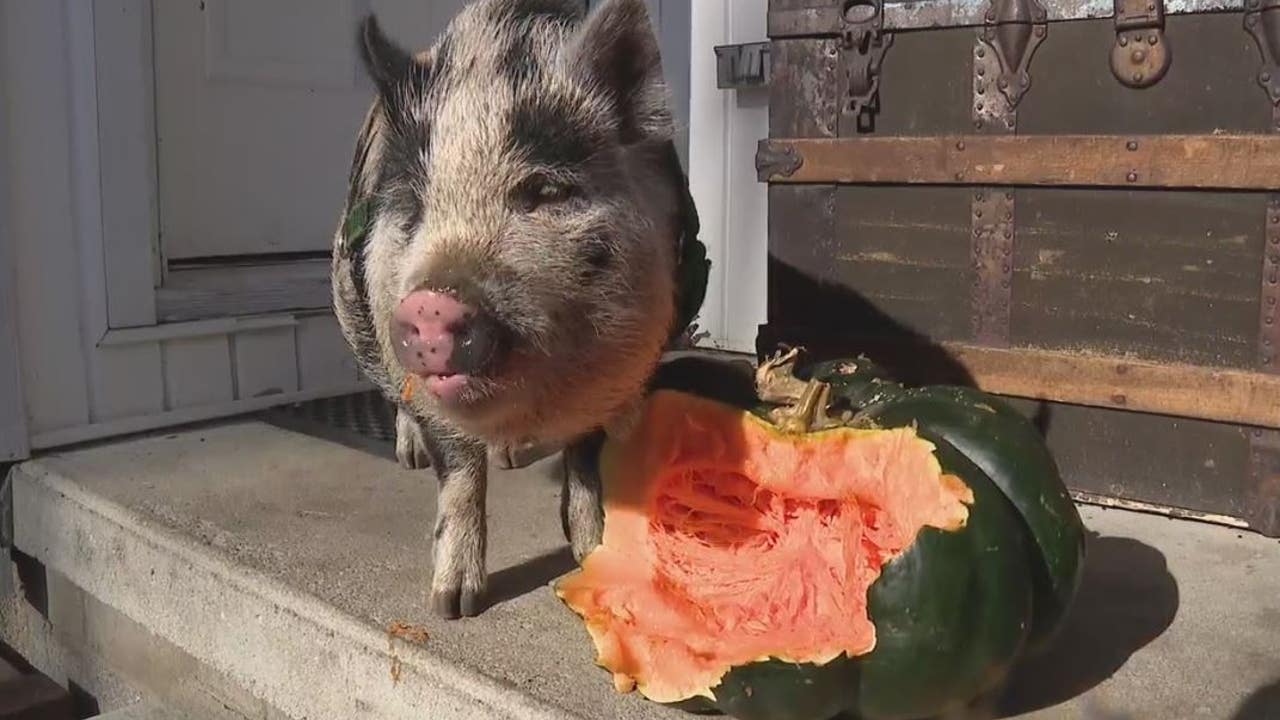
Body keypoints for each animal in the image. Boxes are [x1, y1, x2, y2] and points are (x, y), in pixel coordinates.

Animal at [330, 0, 702, 619]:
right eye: (416, 204)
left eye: (545, 192)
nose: (430, 304)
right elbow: (458, 472)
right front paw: (453, 606)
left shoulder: (624, 365)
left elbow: (586, 459)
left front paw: (591, 553)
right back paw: (411, 456)